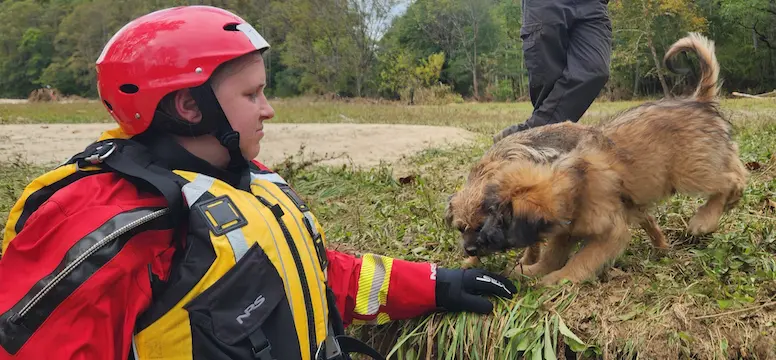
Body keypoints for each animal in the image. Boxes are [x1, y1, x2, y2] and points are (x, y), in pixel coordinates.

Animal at [446, 33, 748, 286]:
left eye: (495, 222)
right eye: (462, 228)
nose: (471, 248)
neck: (576, 182)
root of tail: (698, 101)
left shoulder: (612, 232)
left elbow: (582, 258)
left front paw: (557, 279)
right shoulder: (565, 232)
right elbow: (550, 255)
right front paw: (528, 271)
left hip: (691, 172)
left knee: (731, 179)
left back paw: (705, 219)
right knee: (734, 166)